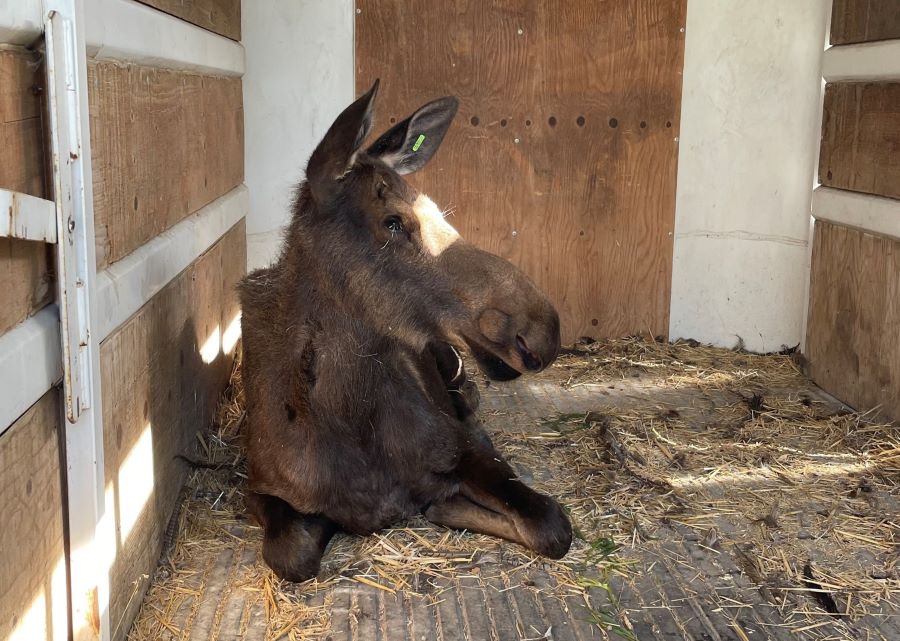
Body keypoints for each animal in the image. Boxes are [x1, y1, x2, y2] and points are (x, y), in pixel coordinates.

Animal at [238, 80, 572, 581]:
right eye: (392, 221)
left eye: (436, 209)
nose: (539, 330)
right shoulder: (259, 485)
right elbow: (291, 552)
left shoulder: (463, 447)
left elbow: (550, 526)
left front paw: (439, 500)